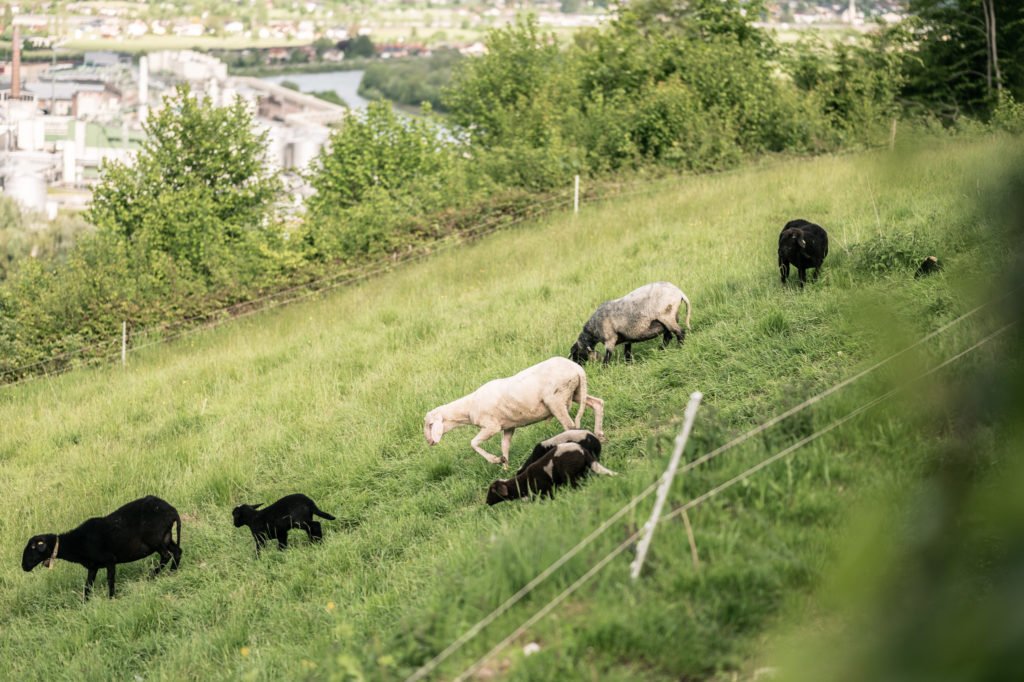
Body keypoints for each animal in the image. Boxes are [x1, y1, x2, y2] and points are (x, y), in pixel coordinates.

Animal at [21, 491, 182, 598]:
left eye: (32, 548)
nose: (24, 567)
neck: (76, 543)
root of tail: (172, 510)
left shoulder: (110, 560)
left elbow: (110, 580)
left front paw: (111, 598)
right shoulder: (93, 567)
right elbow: (87, 586)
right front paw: (85, 603)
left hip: (155, 539)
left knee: (166, 555)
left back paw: (151, 576)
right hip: (166, 537)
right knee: (177, 551)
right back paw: (172, 572)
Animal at [421, 356, 602, 466]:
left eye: (430, 424)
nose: (429, 442)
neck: (469, 406)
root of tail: (577, 369)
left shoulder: (491, 426)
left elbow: (473, 443)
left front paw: (495, 460)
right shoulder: (508, 427)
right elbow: (505, 445)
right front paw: (505, 466)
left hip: (557, 399)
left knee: (570, 426)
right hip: (577, 392)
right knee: (598, 403)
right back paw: (600, 434)